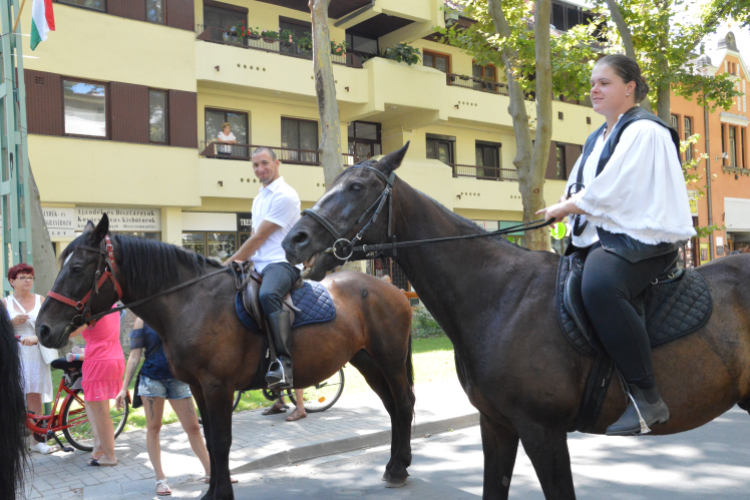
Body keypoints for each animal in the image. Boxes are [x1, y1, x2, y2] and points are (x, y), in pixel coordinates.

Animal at [35, 217, 418, 500]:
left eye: (78, 268)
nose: (43, 328)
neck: (191, 302)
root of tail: (394, 289)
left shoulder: (218, 386)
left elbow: (220, 441)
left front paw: (221, 494)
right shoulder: (198, 388)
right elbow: (208, 439)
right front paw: (212, 491)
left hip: (390, 361)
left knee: (403, 403)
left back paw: (399, 469)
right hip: (367, 362)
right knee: (392, 407)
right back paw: (393, 465)